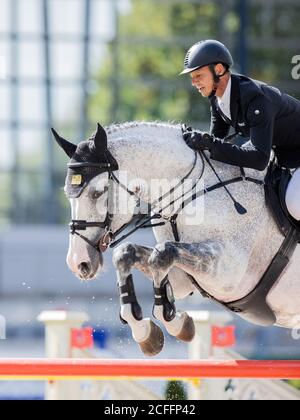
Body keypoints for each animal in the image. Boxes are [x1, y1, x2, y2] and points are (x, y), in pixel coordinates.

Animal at [53, 122, 300, 358]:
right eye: (66, 193)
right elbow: (127, 254)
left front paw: (173, 320)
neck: (190, 193)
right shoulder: (184, 279)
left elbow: (162, 254)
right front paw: (147, 331)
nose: (78, 262)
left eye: (98, 192)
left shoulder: (230, 274)